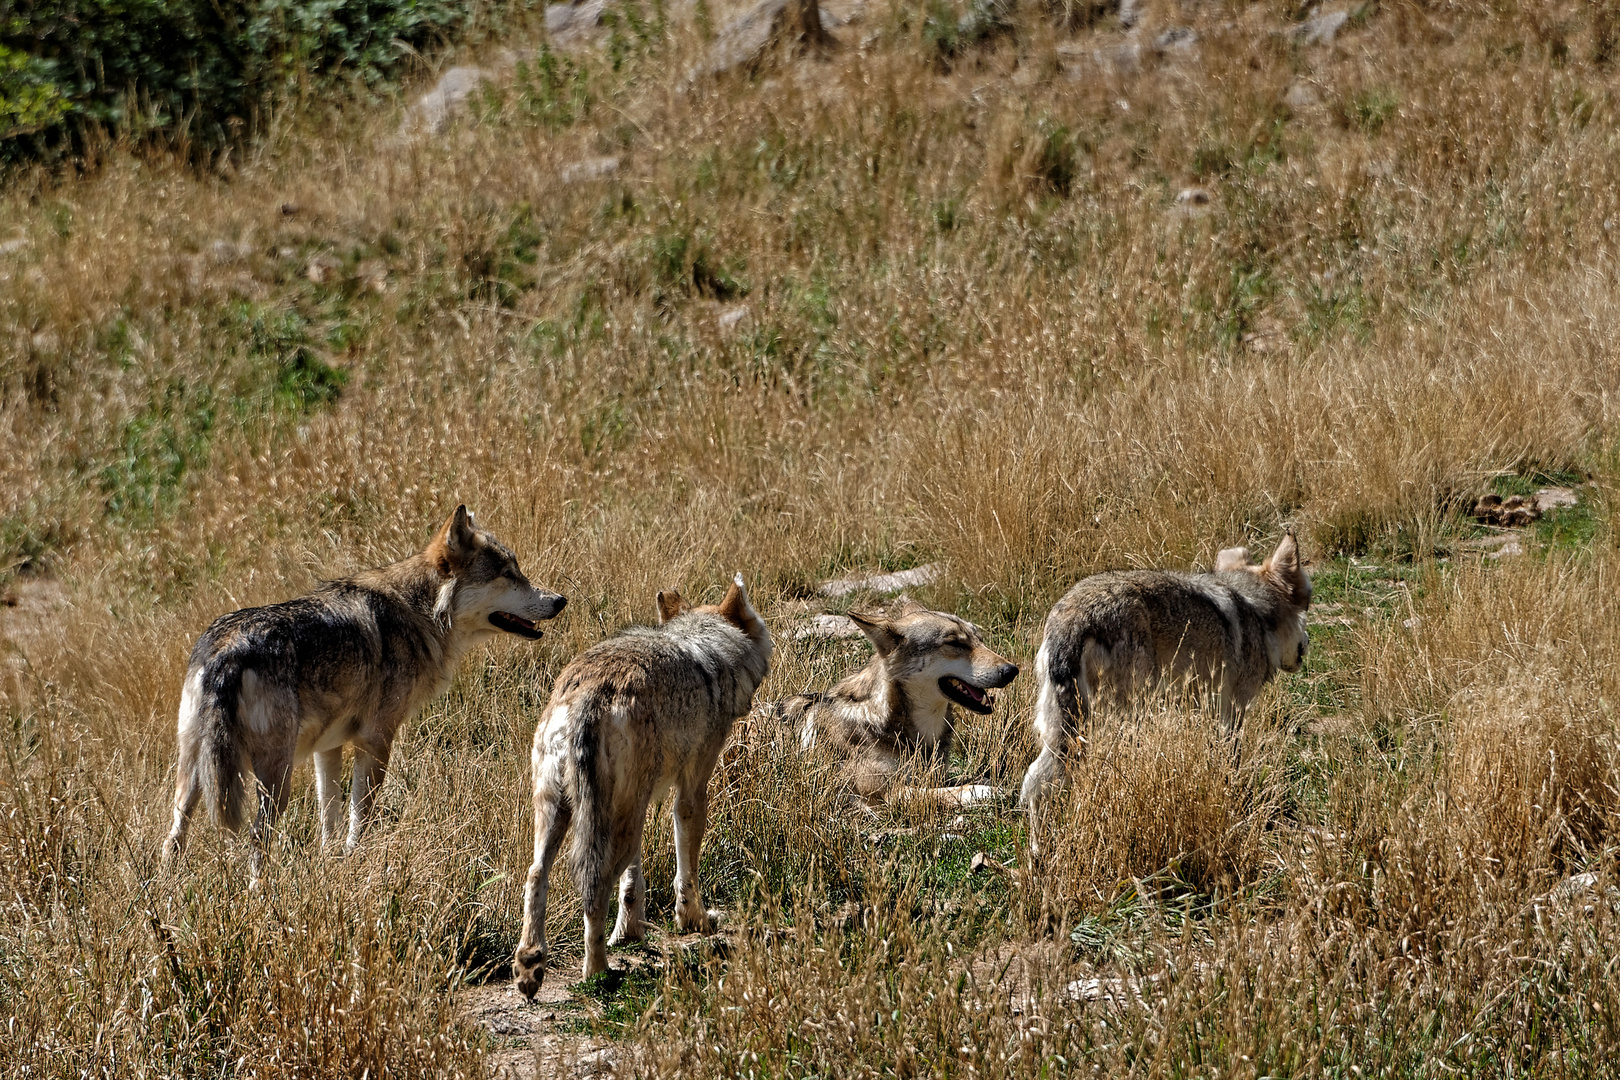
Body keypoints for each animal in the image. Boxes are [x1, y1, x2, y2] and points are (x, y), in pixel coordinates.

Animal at [515, 573, 774, 997]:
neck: (710, 652)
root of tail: (589, 693)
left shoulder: (640, 804)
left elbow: (632, 883)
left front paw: (630, 932)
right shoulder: (691, 790)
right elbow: (686, 873)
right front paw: (695, 921)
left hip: (567, 814)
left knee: (537, 876)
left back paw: (530, 966)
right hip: (604, 826)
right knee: (595, 887)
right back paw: (597, 972)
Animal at [764, 605, 1017, 806]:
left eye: (980, 640)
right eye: (954, 643)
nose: (1012, 670)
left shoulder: (935, 775)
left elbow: (960, 780)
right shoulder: (887, 792)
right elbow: (951, 791)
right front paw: (990, 791)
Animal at [1017, 531, 1308, 819]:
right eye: (1307, 606)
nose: (1308, 641)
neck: (1256, 611)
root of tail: (1074, 619)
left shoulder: (1207, 712)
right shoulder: (1233, 713)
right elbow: (1231, 763)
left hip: (1064, 731)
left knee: (1033, 783)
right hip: (1122, 720)